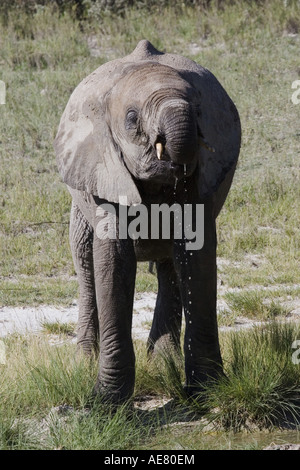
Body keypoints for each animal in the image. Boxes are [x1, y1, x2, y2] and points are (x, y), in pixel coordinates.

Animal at [54, 39, 241, 404]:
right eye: (131, 119)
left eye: (199, 111)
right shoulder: (103, 167)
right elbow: (113, 260)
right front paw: (107, 402)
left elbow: (196, 254)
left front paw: (209, 391)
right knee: (85, 263)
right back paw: (84, 361)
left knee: (170, 268)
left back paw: (164, 361)